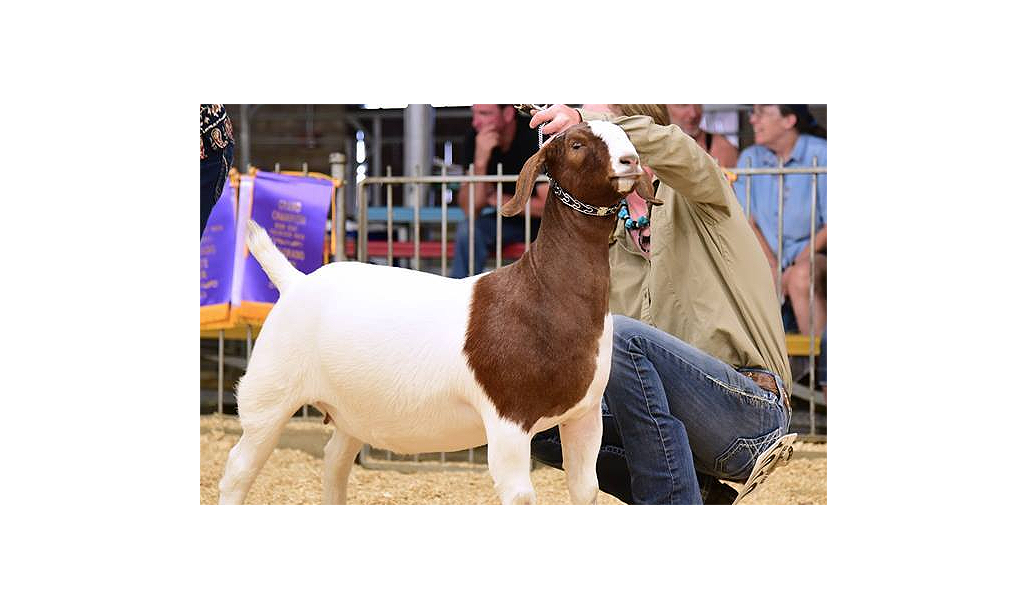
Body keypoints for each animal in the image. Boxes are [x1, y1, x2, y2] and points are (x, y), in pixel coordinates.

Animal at [218, 120, 656, 505]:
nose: (630, 161)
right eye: (578, 144)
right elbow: (520, 497)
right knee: (238, 469)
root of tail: (295, 282)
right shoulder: (508, 420)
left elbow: (586, 491)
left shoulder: (585, 416)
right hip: (269, 392)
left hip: (351, 409)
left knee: (333, 463)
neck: (541, 291)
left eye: (626, 135)